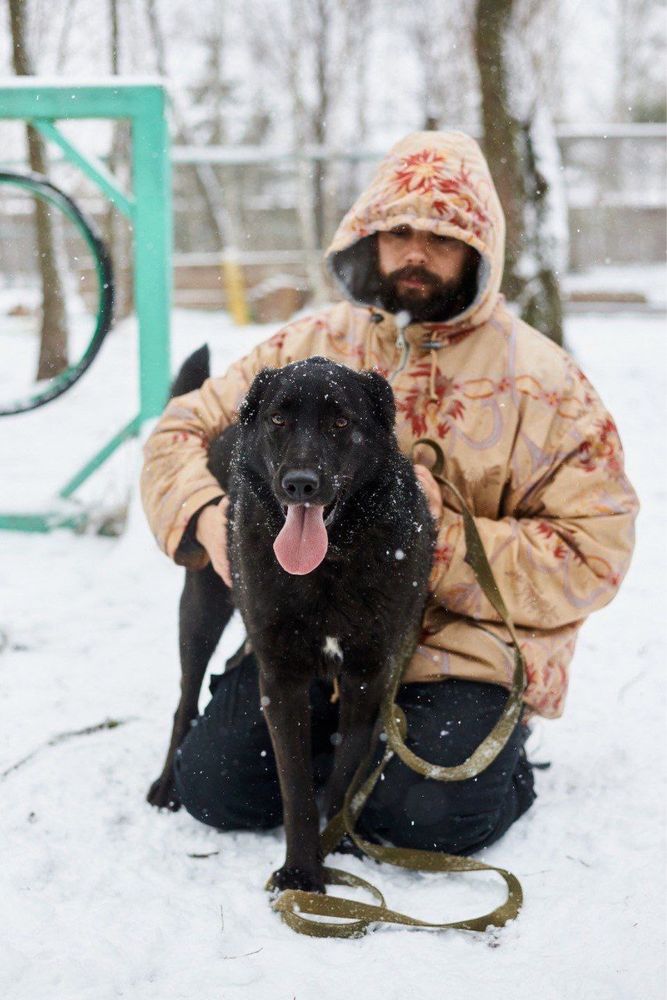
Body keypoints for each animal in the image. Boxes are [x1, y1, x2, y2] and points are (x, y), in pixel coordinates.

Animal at [149, 350, 436, 892]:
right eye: (279, 419)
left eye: (340, 422)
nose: (300, 483)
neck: (326, 569)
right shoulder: (280, 679)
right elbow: (296, 785)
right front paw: (302, 873)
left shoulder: (369, 674)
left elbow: (345, 770)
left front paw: (341, 846)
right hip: (202, 605)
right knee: (184, 698)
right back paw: (165, 787)